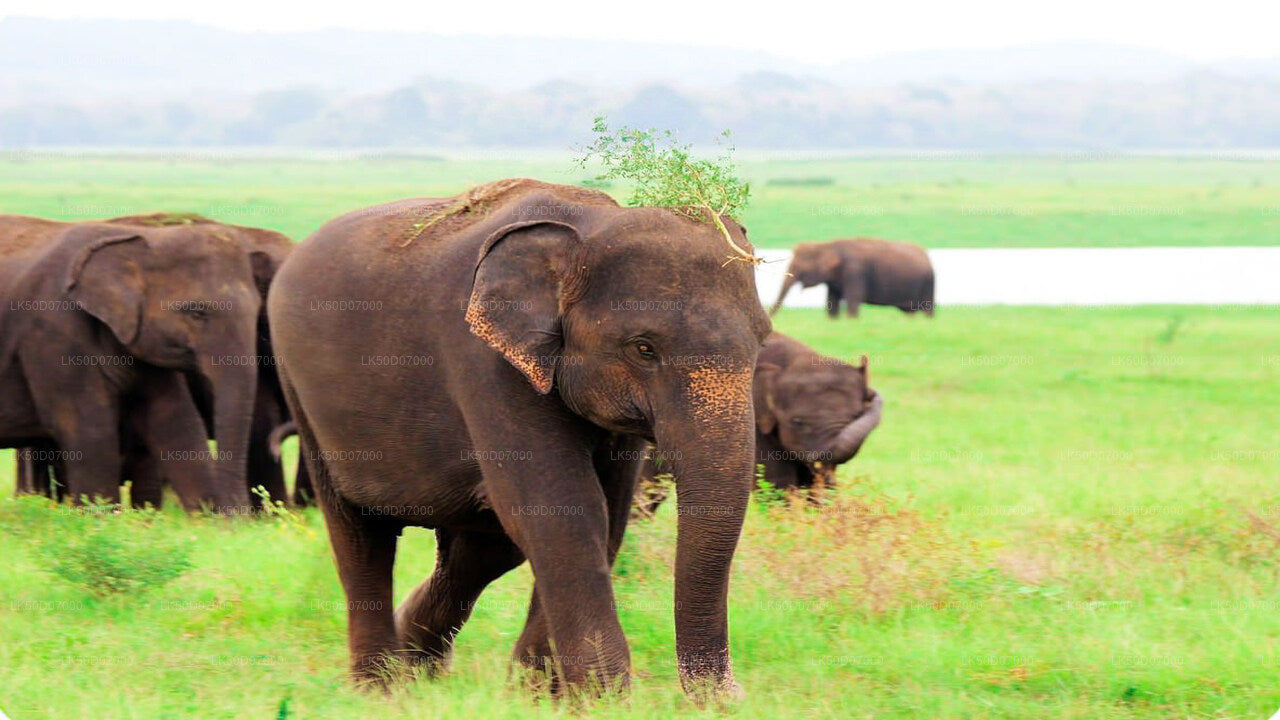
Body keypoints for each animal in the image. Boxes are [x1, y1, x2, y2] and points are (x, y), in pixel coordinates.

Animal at [268, 176, 768, 696]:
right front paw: (600, 697)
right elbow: (563, 510)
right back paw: (382, 688)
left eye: (764, 341)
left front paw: (538, 694)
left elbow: (606, 513)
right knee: (360, 534)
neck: (587, 228)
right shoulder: (486, 363)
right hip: (300, 390)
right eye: (644, 349)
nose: (729, 701)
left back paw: (420, 668)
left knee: (481, 547)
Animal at [762, 235, 936, 316]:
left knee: (927, 309)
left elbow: (853, 299)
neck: (829, 245)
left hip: (928, 283)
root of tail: (928, 257)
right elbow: (832, 303)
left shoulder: (855, 272)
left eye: (799, 267)